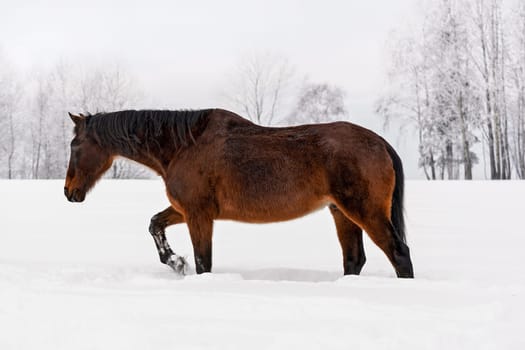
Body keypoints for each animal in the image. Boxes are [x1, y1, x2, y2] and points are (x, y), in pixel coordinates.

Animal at [63, 108, 412, 278]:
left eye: (75, 145)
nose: (68, 191)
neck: (182, 146)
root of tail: (380, 142)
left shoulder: (199, 214)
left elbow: (204, 261)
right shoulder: (186, 209)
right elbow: (155, 224)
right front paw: (175, 262)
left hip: (365, 211)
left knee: (399, 254)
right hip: (341, 212)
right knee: (354, 259)